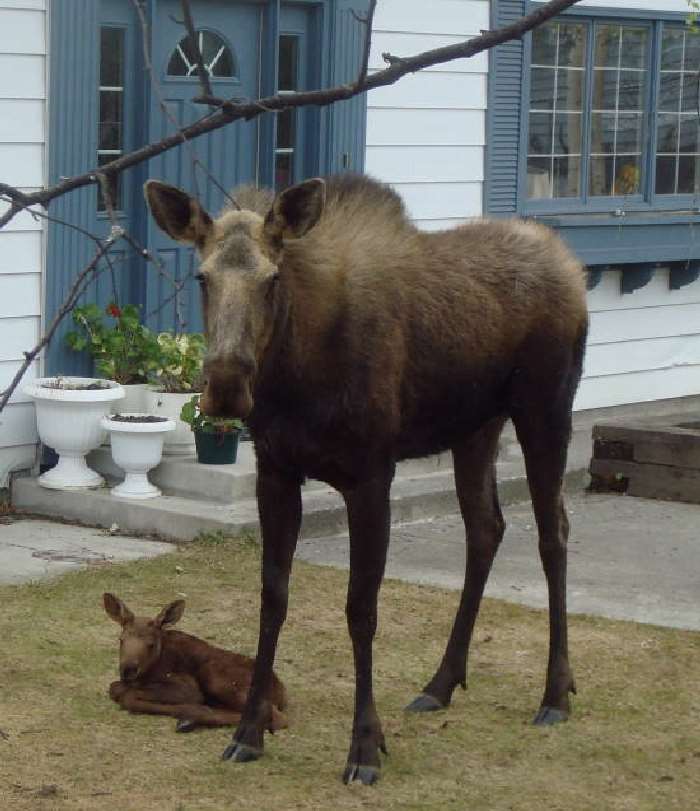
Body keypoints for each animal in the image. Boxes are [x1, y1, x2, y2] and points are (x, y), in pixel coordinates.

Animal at [103, 592, 288, 732]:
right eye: (121, 640)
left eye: (151, 644)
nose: (128, 669)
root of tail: (281, 691)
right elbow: (115, 687)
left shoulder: (188, 688)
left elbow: (127, 696)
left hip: (214, 676)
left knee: (276, 718)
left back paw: (191, 716)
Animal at [145, 173, 588, 788]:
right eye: (202, 277)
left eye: (272, 278)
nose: (227, 386)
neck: (296, 374)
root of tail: (572, 265)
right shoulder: (276, 471)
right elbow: (272, 599)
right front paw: (248, 732)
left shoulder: (372, 474)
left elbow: (361, 610)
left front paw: (364, 747)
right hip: (476, 427)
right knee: (487, 528)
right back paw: (440, 683)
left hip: (545, 410)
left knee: (553, 535)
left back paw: (555, 694)